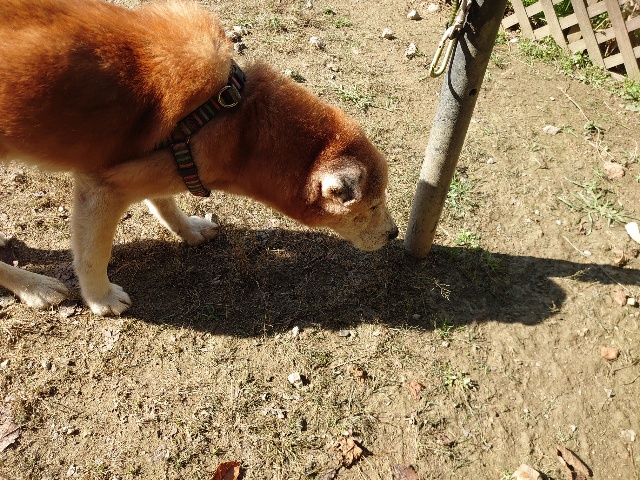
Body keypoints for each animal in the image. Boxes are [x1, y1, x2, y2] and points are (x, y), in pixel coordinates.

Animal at [0, 0, 398, 316]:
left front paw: (189, 230)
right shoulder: (102, 187)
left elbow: (164, 203)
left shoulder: (165, 167)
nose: (395, 234)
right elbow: (92, 255)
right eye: (372, 206)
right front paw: (101, 299)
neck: (237, 121)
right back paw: (35, 287)